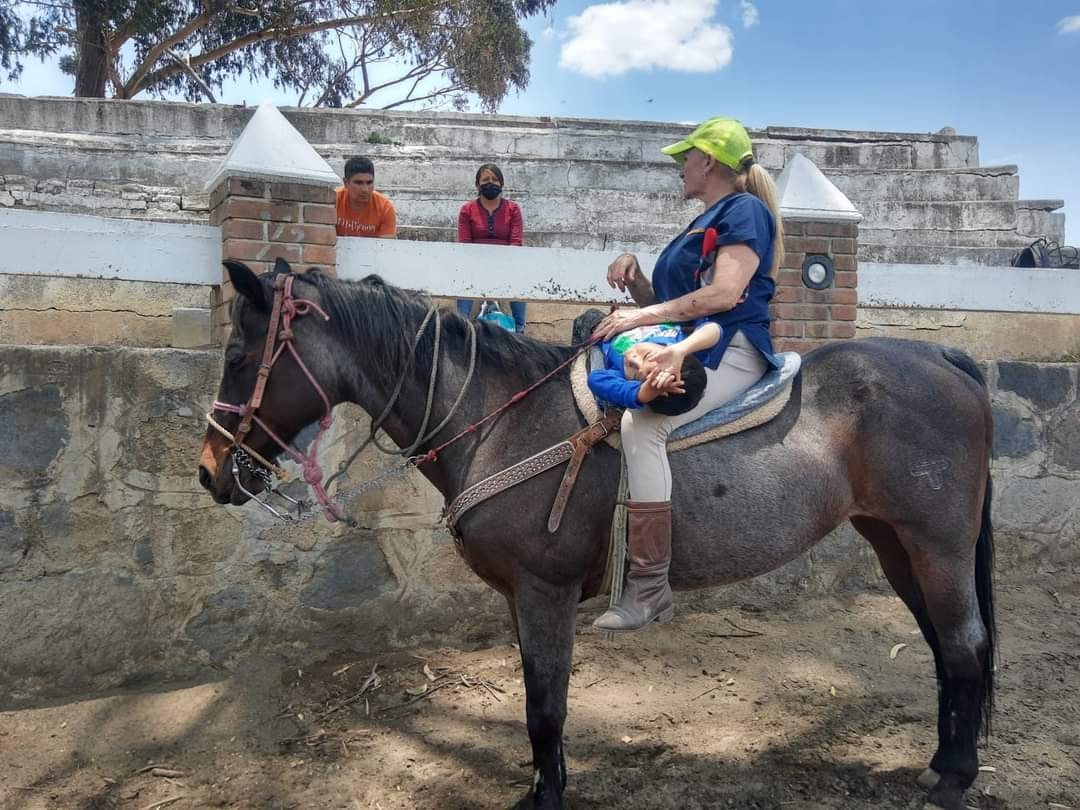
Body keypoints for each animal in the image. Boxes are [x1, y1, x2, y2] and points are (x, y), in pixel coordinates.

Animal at [196, 261, 993, 810]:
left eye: (238, 356)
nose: (209, 472)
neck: (499, 421)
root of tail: (941, 358)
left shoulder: (543, 593)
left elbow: (545, 704)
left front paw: (546, 797)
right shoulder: (521, 600)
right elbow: (536, 699)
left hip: (936, 545)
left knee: (963, 645)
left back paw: (954, 780)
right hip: (895, 543)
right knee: (942, 647)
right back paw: (941, 760)